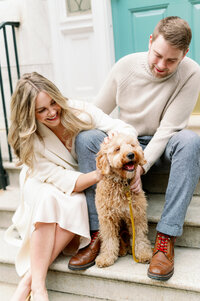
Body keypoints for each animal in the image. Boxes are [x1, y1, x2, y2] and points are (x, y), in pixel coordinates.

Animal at [95, 134, 152, 268]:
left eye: (132, 145)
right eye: (117, 149)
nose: (131, 154)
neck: (122, 183)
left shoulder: (136, 215)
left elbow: (139, 236)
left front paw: (143, 253)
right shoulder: (107, 219)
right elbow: (109, 239)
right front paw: (106, 257)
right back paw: (121, 250)